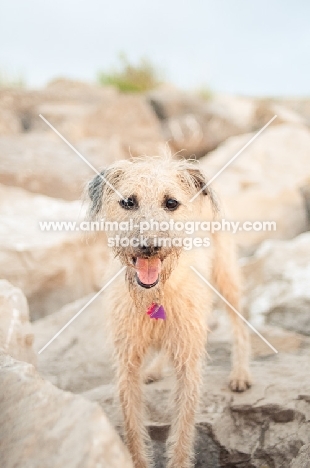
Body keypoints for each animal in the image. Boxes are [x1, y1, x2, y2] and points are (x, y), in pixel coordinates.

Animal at [87, 154, 252, 468]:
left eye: (171, 203)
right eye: (128, 202)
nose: (149, 246)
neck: (154, 296)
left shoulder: (189, 367)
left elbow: (183, 432)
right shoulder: (126, 367)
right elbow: (133, 431)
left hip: (226, 276)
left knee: (239, 323)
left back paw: (240, 373)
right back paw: (154, 369)